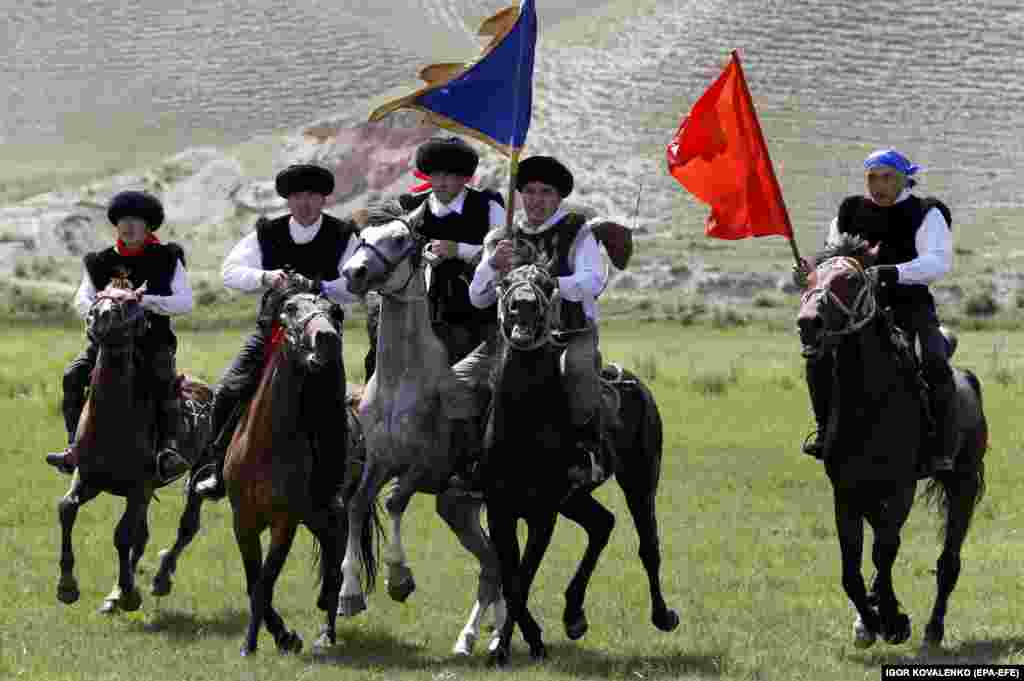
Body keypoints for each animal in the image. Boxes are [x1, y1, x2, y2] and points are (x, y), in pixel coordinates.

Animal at [56, 284, 214, 614]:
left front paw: (128, 593)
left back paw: (160, 579)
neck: (113, 421)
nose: (98, 317)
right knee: (143, 535)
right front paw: (67, 586)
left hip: (197, 474)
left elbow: (123, 536)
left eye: (130, 301)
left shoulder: (138, 488)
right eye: (97, 296)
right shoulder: (88, 479)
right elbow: (66, 509)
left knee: (186, 527)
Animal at [222, 280, 378, 655]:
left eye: (333, 311)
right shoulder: (243, 521)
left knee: (336, 566)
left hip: (332, 514)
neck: (264, 445)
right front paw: (276, 636)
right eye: (290, 308)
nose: (327, 338)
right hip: (317, 517)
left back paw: (327, 632)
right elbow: (254, 582)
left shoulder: (284, 524)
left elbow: (265, 581)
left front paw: (268, 640)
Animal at [335, 202, 507, 655]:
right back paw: (483, 635)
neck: (400, 382)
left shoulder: (424, 468)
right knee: (493, 565)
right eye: (363, 238)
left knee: (497, 565)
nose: (353, 272)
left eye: (399, 239)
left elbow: (394, 502)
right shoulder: (379, 462)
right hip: (459, 507)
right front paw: (349, 594)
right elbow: (357, 505)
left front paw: (399, 578)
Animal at [481, 260, 679, 663]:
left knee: (648, 546)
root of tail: (635, 384)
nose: (522, 307)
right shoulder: (501, 512)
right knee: (602, 524)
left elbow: (522, 580)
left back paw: (662, 614)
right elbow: (510, 579)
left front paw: (513, 646)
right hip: (575, 499)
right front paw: (511, 645)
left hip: (640, 483)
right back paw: (573, 615)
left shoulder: (542, 515)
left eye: (545, 283)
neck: (523, 427)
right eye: (505, 282)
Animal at [794, 235, 987, 647]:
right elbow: (851, 568)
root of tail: (967, 379)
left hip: (963, 485)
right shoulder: (846, 494)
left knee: (948, 561)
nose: (808, 324)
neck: (870, 401)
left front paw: (893, 620)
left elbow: (885, 550)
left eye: (851, 280)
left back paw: (933, 629)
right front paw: (871, 619)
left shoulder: (901, 489)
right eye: (809, 278)